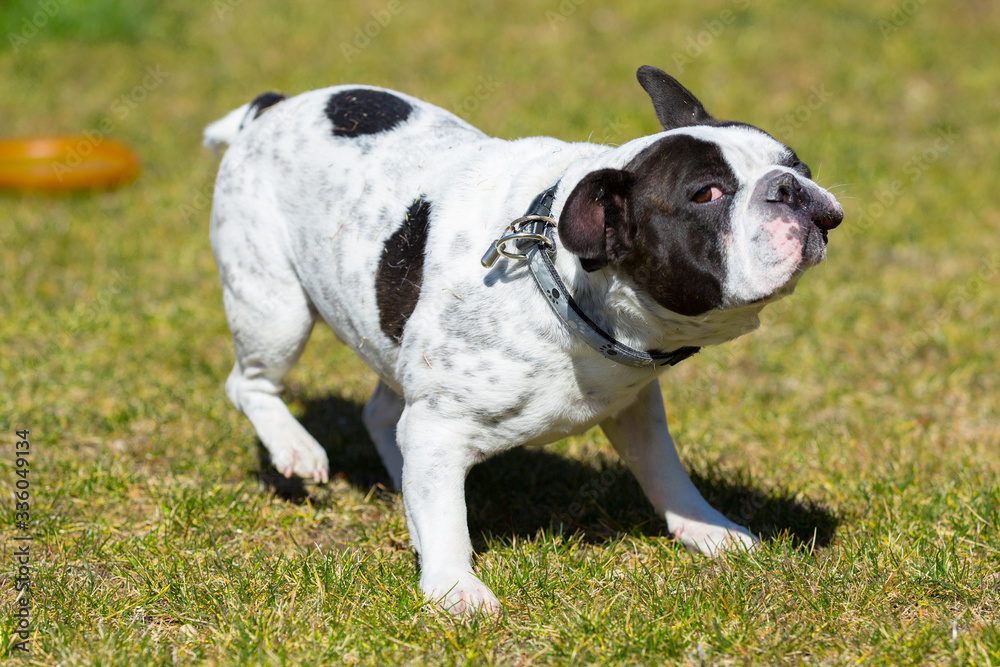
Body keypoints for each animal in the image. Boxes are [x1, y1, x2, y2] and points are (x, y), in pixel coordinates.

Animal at [203, 65, 844, 612]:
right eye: (707, 195)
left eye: (797, 164)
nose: (790, 186)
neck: (558, 281)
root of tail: (269, 109)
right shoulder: (439, 425)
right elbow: (447, 517)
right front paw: (454, 587)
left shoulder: (635, 408)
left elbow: (665, 470)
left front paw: (707, 528)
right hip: (275, 308)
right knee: (249, 383)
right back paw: (295, 447)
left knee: (384, 414)